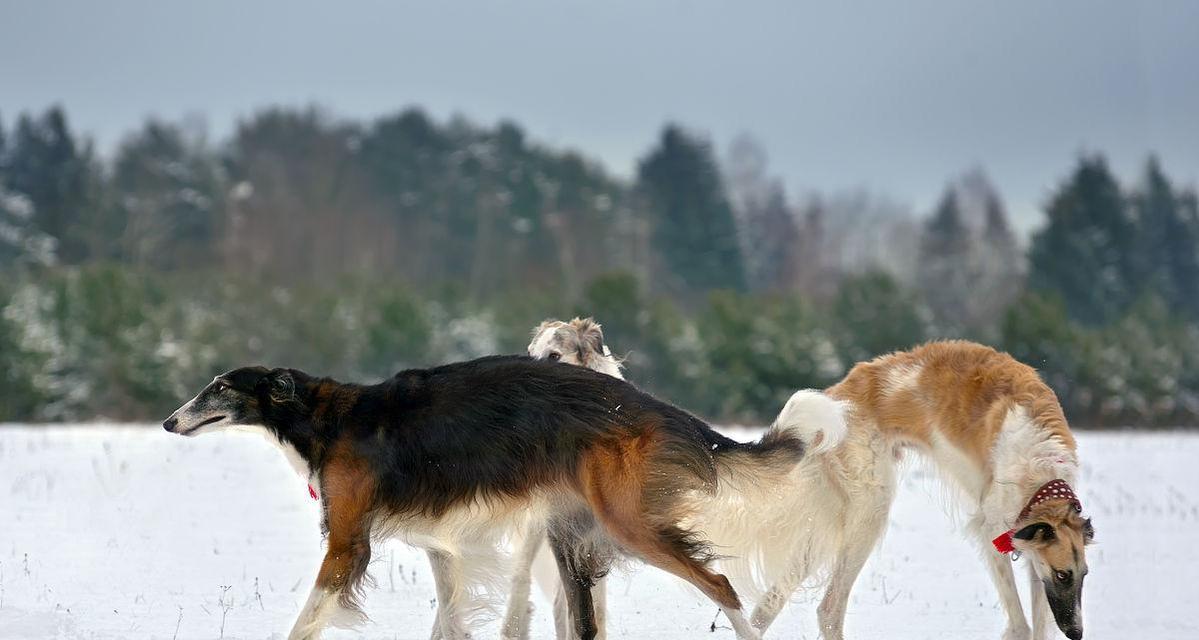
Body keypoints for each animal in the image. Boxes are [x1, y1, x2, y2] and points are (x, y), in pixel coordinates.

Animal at [161, 357, 815, 640]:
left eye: (219, 387)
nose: (169, 421)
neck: (328, 420)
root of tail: (654, 406)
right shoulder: (443, 549)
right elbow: (449, 622)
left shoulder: (347, 542)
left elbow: (306, 620)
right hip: (575, 536)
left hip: (626, 523)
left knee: (722, 584)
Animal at [752, 342, 1098, 637]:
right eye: (1063, 575)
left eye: (1084, 575)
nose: (1076, 633)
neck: (1043, 473)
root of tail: (836, 394)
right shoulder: (993, 531)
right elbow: (1021, 625)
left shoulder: (1030, 546)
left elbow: (1038, 621)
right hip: (869, 511)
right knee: (829, 608)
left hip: (834, 521)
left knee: (766, 606)